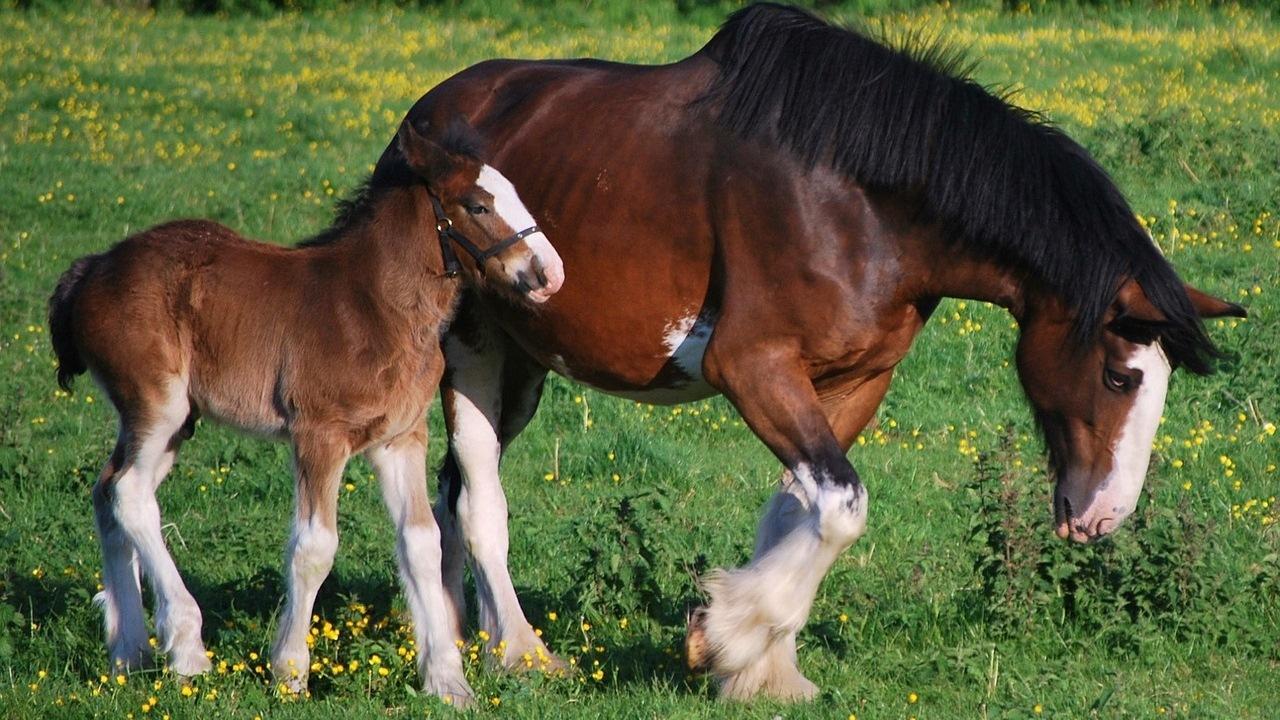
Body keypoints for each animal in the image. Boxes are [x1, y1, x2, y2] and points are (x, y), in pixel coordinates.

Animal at [46, 118, 563, 706]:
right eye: (477, 205)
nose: (549, 273)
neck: (375, 306)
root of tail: (91, 270)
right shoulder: (319, 435)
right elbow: (314, 547)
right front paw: (290, 672)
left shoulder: (401, 438)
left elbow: (422, 542)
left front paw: (448, 681)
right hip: (156, 403)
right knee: (130, 492)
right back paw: (188, 648)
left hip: (173, 422)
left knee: (107, 490)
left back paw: (128, 652)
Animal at [369, 3, 1247, 701]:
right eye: (1120, 374)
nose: (1104, 518)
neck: (859, 197)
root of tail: (424, 123)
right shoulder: (752, 367)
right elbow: (842, 507)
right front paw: (724, 636)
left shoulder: (853, 381)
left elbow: (801, 506)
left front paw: (759, 666)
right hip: (475, 351)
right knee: (478, 499)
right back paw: (521, 652)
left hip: (524, 367)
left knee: (451, 495)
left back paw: (462, 639)